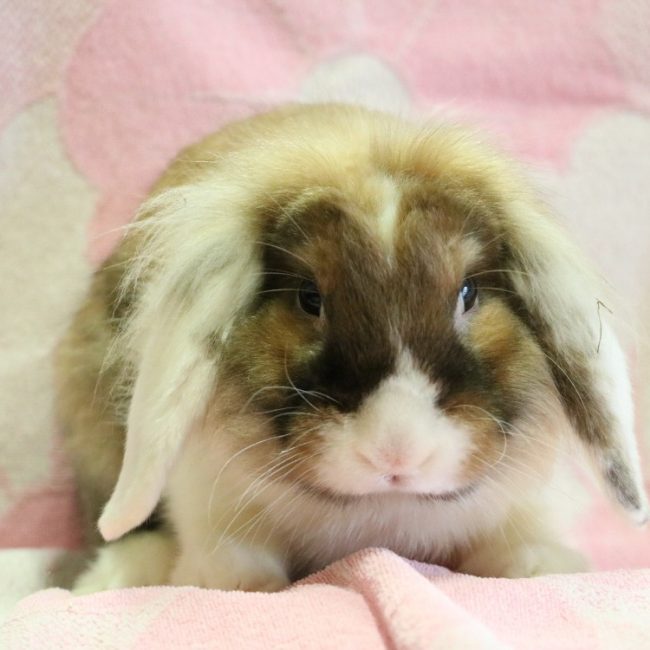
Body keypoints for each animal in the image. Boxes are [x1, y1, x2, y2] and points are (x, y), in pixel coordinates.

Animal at [54, 103, 648, 594]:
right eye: (309, 297)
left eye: (469, 293)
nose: (397, 452)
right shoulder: (208, 497)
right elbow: (233, 557)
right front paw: (226, 581)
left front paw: (540, 565)